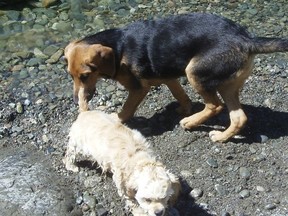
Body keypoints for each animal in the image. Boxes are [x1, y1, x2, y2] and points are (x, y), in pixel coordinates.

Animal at [63, 12, 288, 143]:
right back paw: (221, 137)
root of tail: (246, 40)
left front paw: (114, 119)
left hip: (194, 72)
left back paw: (190, 122)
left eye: (85, 76)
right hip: (227, 83)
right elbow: (180, 95)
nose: (75, 101)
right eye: (70, 76)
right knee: (239, 117)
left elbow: (126, 110)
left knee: (214, 106)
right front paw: (184, 107)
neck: (118, 47)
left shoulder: (138, 88)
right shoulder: (168, 77)